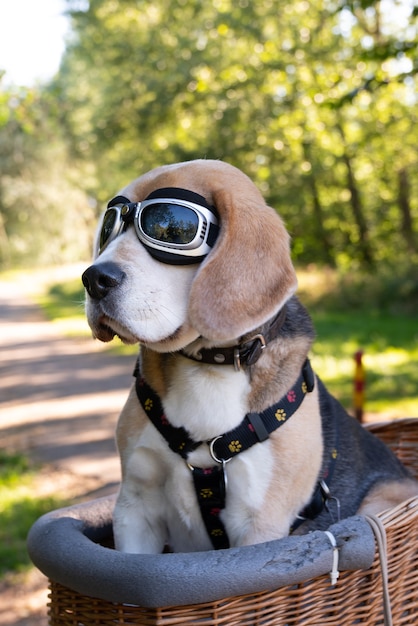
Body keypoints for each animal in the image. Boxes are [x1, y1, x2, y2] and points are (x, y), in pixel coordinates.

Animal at [82, 160, 418, 552]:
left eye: (171, 229)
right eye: (109, 227)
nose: (94, 279)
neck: (207, 364)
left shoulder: (259, 525)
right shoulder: (135, 509)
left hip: (378, 502)